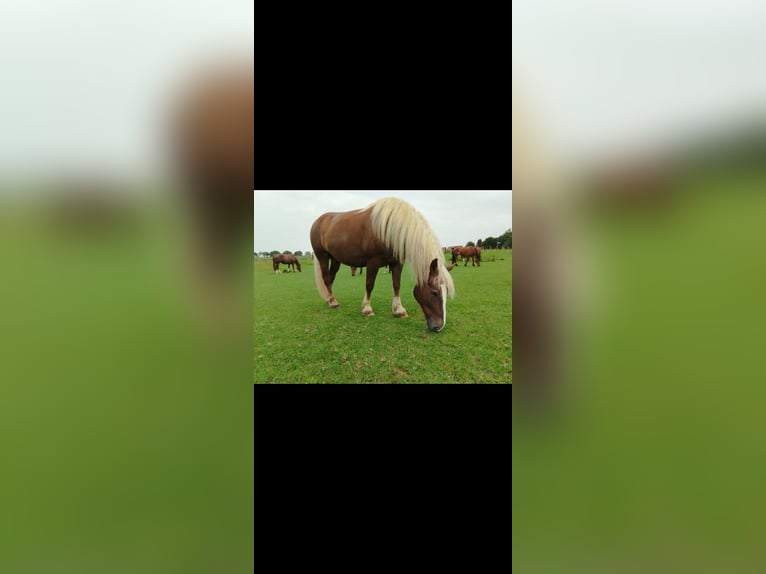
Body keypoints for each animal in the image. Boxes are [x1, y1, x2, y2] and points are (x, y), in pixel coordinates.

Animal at [310, 197, 455, 332]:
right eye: (434, 293)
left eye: (446, 291)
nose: (439, 327)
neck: (391, 228)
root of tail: (319, 221)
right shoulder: (373, 262)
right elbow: (369, 284)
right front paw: (367, 309)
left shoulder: (397, 263)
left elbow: (396, 285)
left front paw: (399, 310)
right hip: (322, 256)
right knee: (326, 278)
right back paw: (333, 302)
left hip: (335, 259)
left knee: (331, 277)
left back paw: (329, 299)